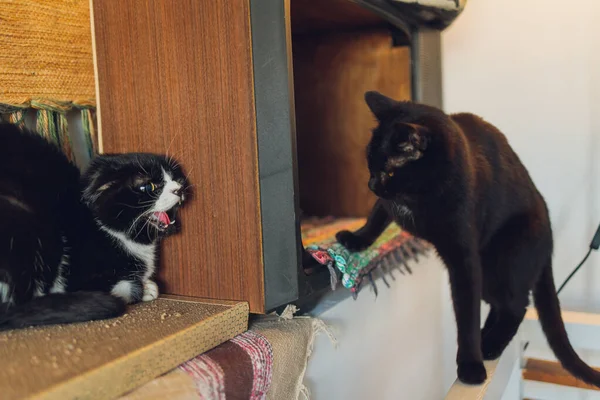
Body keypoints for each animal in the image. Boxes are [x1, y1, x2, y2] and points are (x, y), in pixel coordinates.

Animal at [336, 92, 600, 386]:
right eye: (369, 163)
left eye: (389, 172)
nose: (370, 184)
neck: (419, 196)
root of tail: (549, 242)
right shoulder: (390, 203)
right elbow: (376, 217)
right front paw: (355, 239)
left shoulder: (464, 260)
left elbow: (466, 316)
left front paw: (470, 365)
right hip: (490, 278)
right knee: (503, 303)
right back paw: (488, 335)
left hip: (504, 262)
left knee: (517, 306)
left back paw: (490, 345)